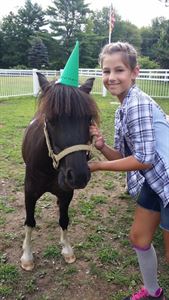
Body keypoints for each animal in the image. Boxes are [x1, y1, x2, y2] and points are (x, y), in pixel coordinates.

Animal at [20, 73, 99, 272]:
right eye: (51, 119)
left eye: (88, 118)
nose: (79, 176)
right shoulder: (29, 192)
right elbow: (30, 222)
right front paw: (27, 256)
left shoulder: (66, 194)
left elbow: (64, 220)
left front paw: (67, 249)